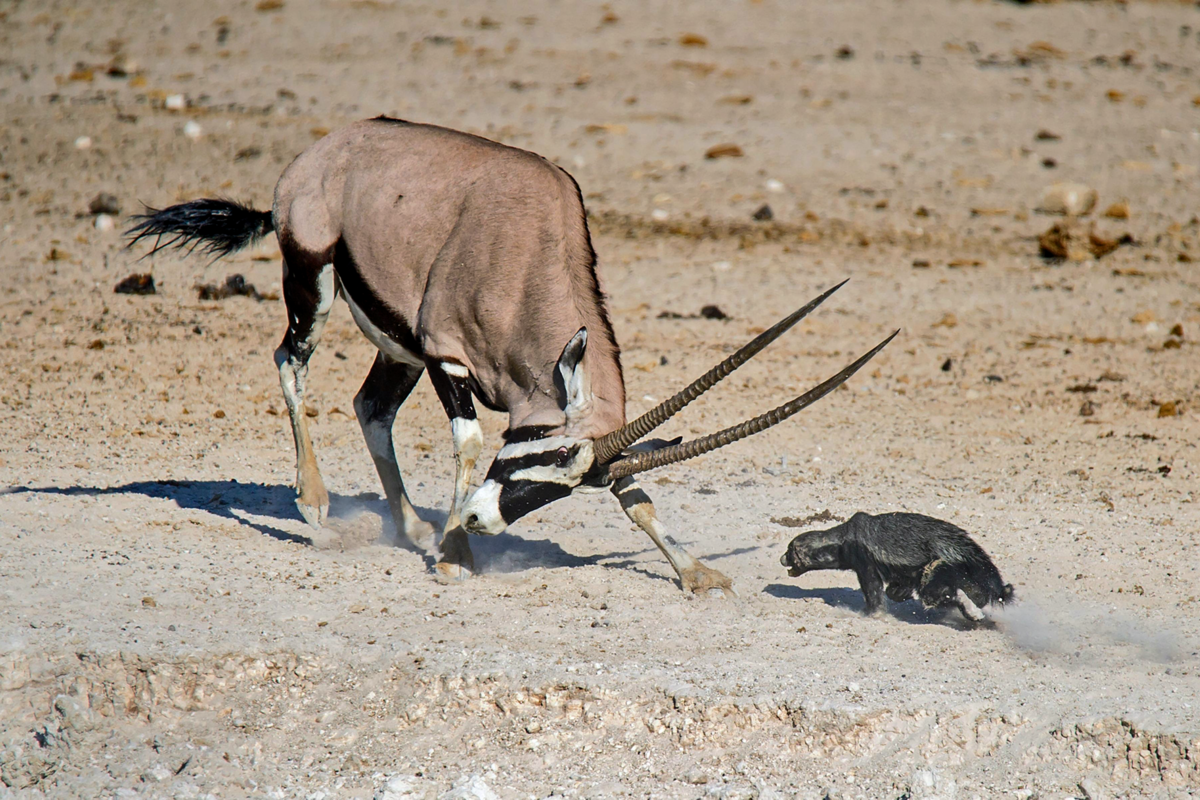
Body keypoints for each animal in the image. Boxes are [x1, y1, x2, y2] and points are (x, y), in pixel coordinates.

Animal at [133, 117, 902, 594]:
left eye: (563, 480)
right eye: (538, 455)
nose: (479, 521)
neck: (528, 256)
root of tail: (317, 156)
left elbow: (634, 492)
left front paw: (694, 572)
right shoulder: (449, 360)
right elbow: (470, 443)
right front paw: (454, 558)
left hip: (397, 346)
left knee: (370, 406)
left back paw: (412, 525)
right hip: (314, 284)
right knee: (290, 363)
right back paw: (319, 509)